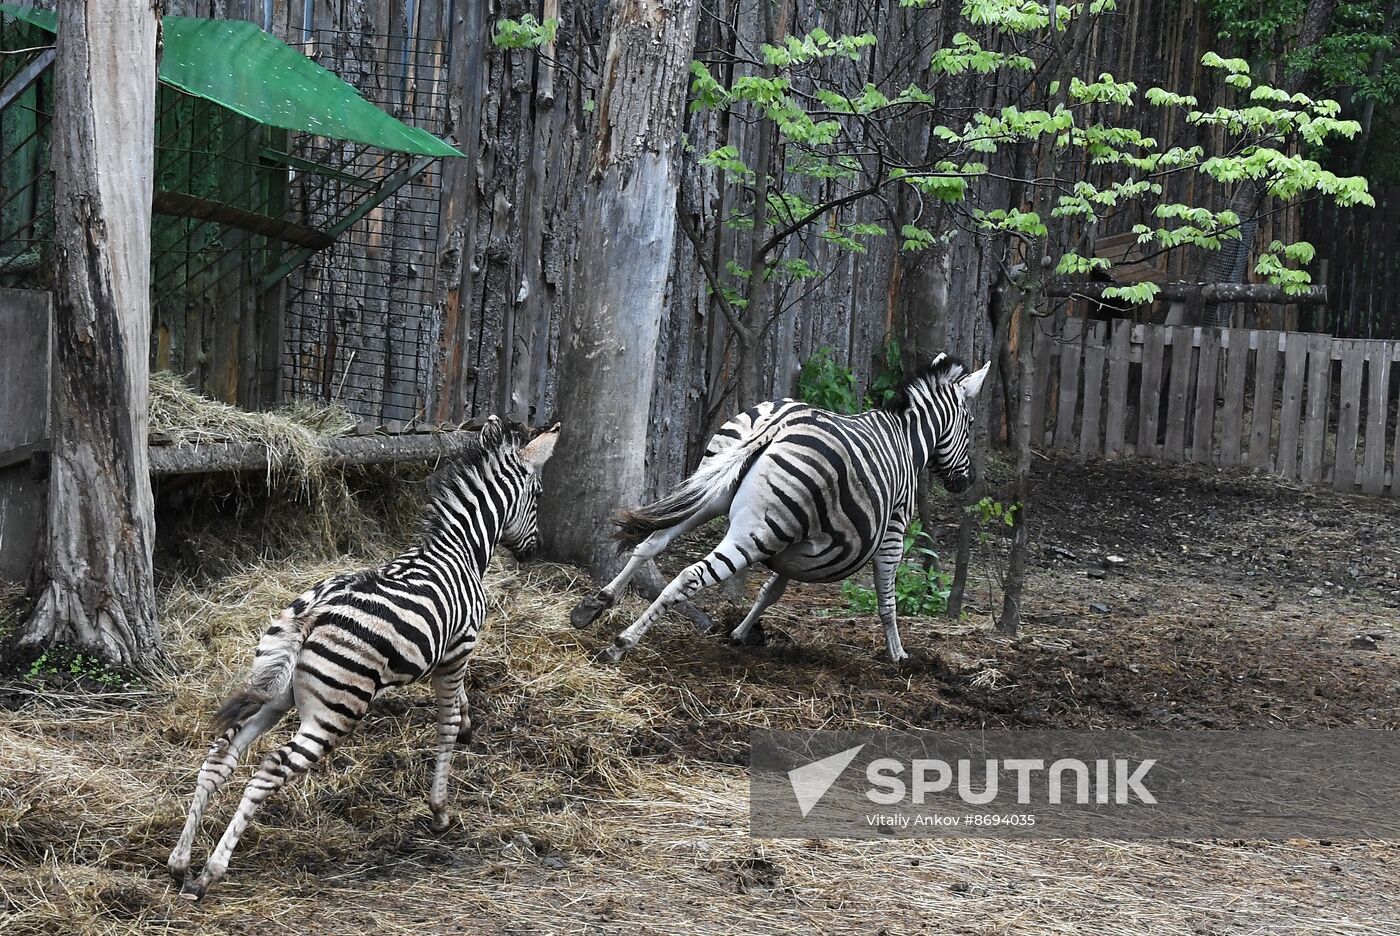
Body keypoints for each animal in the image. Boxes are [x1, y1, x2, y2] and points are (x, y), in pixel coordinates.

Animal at [165, 416, 557, 895]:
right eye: (538, 496)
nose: (533, 552)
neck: (459, 549)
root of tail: (316, 610)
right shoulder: (459, 649)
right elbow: (445, 723)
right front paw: (440, 808)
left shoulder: (449, 656)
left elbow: (459, 705)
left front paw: (467, 724)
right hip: (336, 709)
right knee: (270, 769)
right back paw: (210, 872)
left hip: (276, 692)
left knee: (221, 756)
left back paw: (181, 861)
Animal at [574, 352, 991, 663]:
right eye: (970, 421)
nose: (967, 481)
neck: (906, 438)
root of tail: (778, 422)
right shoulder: (893, 530)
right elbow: (887, 597)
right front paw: (898, 654)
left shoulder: (799, 543)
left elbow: (770, 591)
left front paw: (740, 633)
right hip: (758, 530)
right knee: (690, 575)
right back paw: (621, 643)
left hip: (716, 496)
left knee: (651, 544)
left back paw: (595, 604)